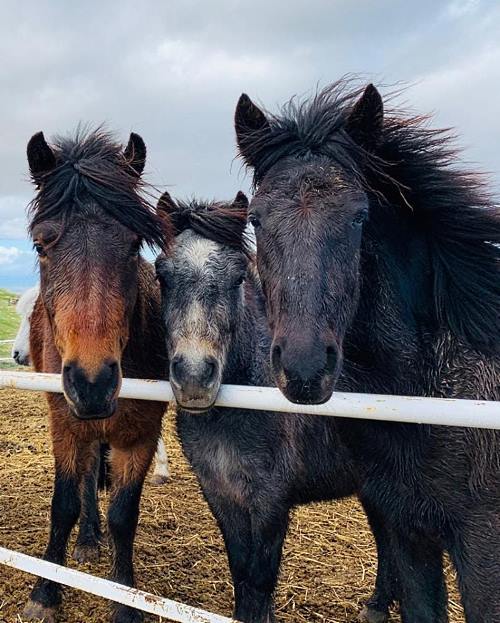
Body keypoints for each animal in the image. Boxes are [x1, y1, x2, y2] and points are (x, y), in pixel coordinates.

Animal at [23, 128, 170, 623]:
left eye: (133, 245)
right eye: (41, 246)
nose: (92, 384)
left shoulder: (140, 436)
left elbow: (124, 517)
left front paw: (124, 601)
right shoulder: (66, 427)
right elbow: (64, 505)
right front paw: (46, 591)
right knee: (87, 481)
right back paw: (87, 539)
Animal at [154, 197, 396, 623]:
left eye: (238, 277)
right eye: (161, 275)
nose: (195, 377)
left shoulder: (270, 503)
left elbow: (260, 580)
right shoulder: (221, 495)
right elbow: (240, 573)